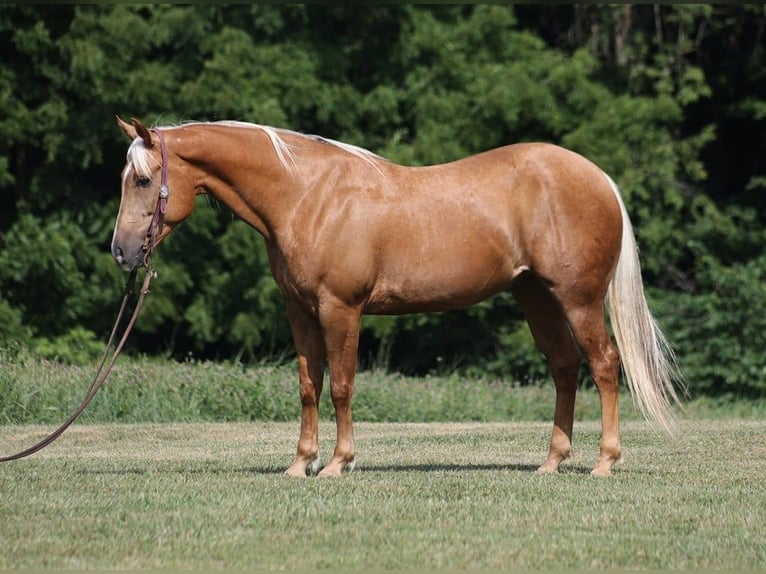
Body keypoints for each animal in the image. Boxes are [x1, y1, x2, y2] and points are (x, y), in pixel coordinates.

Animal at [112, 116, 682, 477]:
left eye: (142, 180)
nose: (121, 251)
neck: (306, 195)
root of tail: (598, 177)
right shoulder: (300, 311)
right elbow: (308, 386)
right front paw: (300, 463)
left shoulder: (340, 308)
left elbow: (341, 386)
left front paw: (338, 463)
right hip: (536, 298)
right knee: (565, 367)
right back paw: (551, 462)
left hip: (578, 299)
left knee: (603, 365)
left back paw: (604, 462)